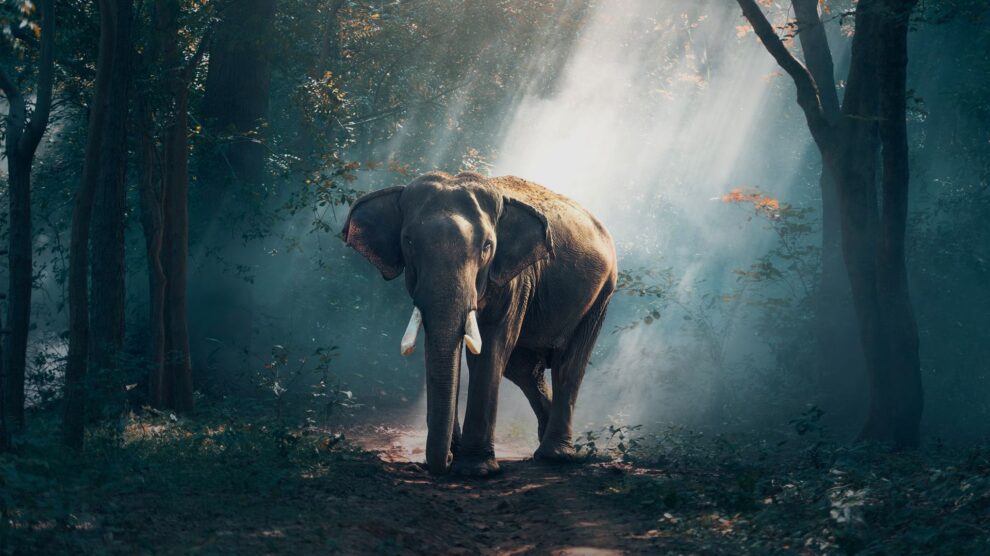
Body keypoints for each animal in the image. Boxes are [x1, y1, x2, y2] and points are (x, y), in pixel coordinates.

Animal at [343, 171, 617, 476]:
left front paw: (475, 469)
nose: (445, 460)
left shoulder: (515, 279)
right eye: (409, 242)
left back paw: (555, 456)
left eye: (487, 246)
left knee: (568, 365)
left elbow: (491, 347)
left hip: (602, 293)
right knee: (523, 369)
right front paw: (458, 456)